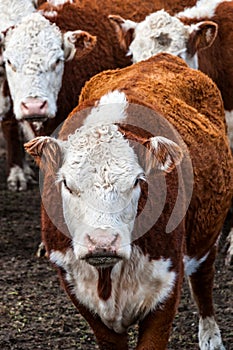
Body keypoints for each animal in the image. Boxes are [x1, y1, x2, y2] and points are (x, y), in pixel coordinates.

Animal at [24, 52, 232, 350]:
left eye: (136, 181)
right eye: (66, 183)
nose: (102, 241)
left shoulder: (167, 290)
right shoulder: (79, 292)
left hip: (206, 237)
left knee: (203, 281)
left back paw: (210, 337)